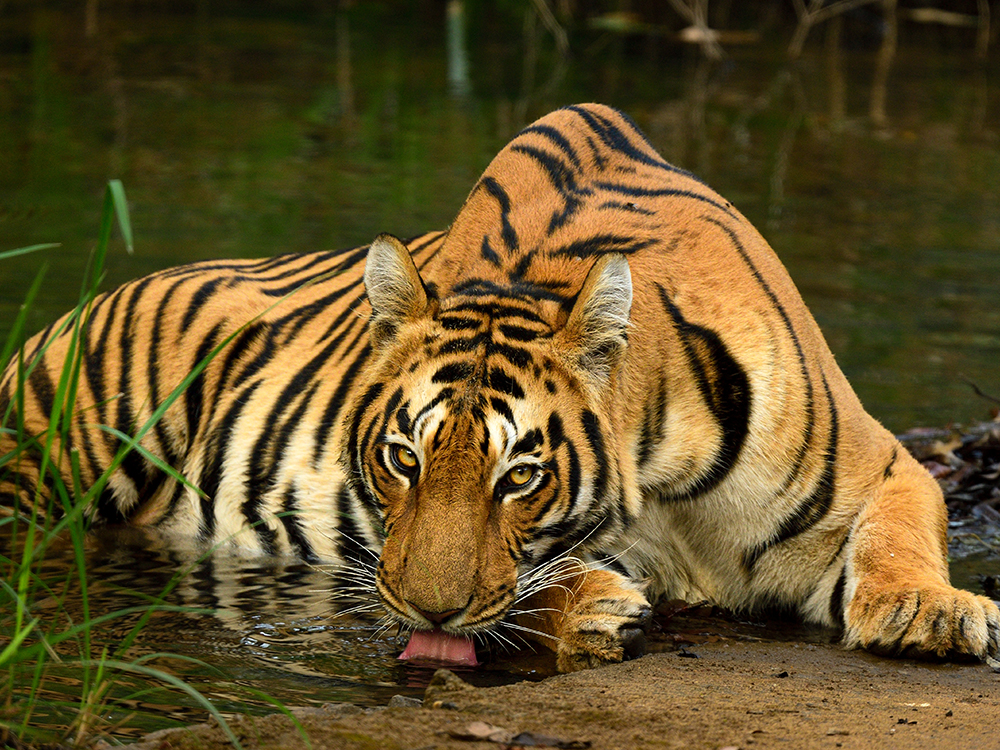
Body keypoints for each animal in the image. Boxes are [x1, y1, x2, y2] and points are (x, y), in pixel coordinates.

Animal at [2, 103, 997, 672]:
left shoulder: (887, 465)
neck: (664, 479)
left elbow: (902, 532)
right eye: (402, 458)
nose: (426, 612)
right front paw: (594, 605)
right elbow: (527, 585)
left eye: (520, 475)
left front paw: (932, 611)